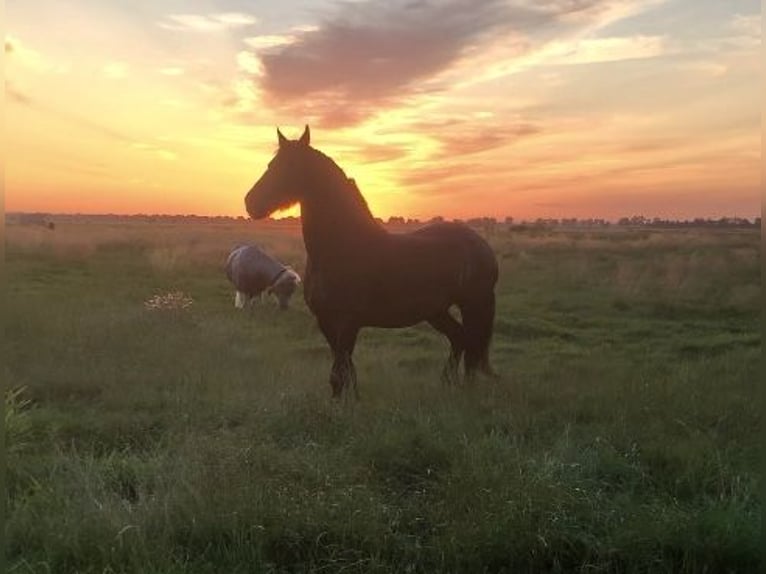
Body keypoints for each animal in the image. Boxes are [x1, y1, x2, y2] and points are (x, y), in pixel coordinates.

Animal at [244, 126, 498, 398]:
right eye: (271, 164)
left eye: (290, 165)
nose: (250, 202)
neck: (341, 248)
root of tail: (480, 243)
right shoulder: (326, 322)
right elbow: (345, 373)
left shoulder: (347, 323)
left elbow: (339, 375)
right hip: (436, 311)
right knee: (460, 339)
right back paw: (447, 385)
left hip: (474, 304)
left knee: (471, 348)